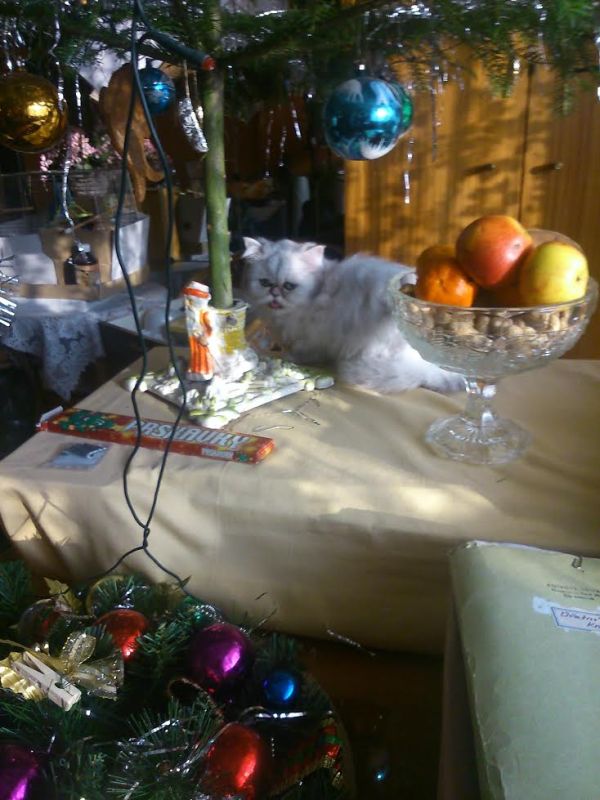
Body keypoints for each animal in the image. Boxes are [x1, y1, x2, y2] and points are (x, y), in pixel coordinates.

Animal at [242, 237, 464, 394]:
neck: (319, 292)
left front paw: (289, 358)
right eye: (264, 283)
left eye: (289, 286)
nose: (274, 292)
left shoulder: (310, 338)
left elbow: (302, 353)